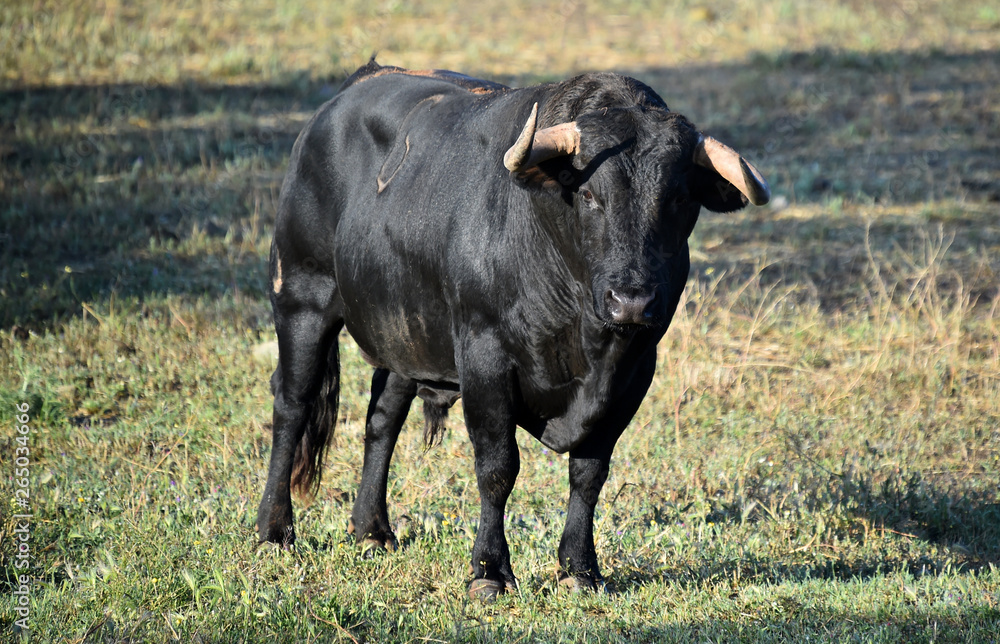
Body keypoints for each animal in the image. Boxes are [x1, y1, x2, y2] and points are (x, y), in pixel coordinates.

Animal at [254, 60, 768, 600]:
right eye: (590, 194)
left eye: (679, 198)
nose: (632, 301)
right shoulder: (485, 359)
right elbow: (498, 467)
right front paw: (489, 570)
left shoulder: (633, 374)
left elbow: (589, 472)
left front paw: (580, 568)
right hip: (301, 297)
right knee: (292, 406)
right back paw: (274, 530)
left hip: (406, 333)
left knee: (383, 418)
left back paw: (372, 530)